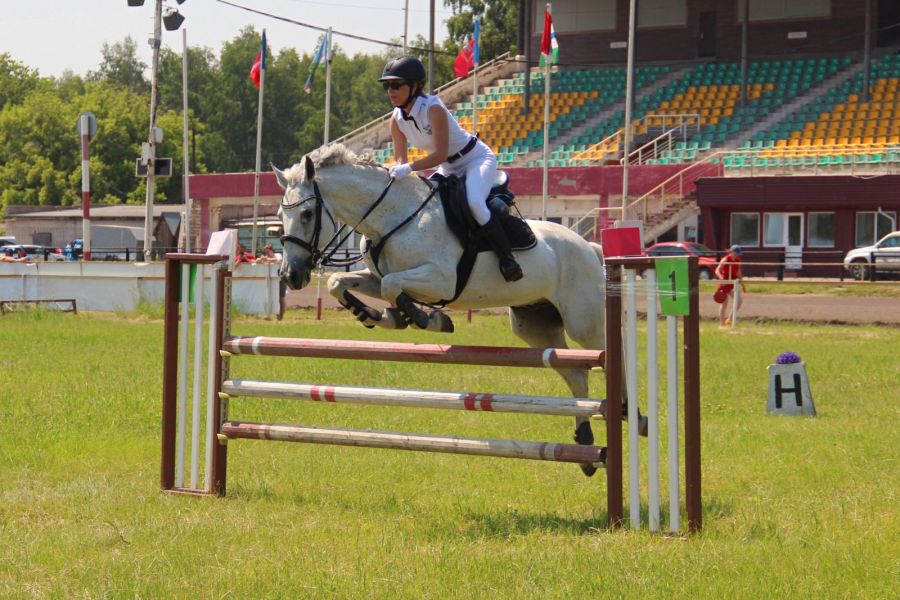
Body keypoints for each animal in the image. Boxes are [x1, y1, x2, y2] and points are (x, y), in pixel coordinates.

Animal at [272, 144, 624, 474]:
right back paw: (586, 444)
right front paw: (375, 315)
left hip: (584, 322)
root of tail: (588, 246)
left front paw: (427, 318)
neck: (393, 217)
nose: (291, 276)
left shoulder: (441, 280)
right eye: (280, 216)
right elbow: (341, 283)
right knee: (575, 374)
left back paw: (624, 411)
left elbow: (393, 287)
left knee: (605, 358)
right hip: (535, 325)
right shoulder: (376, 276)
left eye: (307, 214)